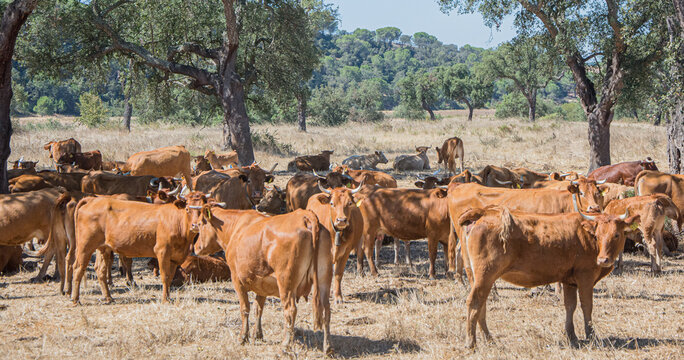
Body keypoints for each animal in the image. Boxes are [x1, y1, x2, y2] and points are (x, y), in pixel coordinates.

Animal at [71, 193, 208, 302]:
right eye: (187, 209)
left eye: (203, 210)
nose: (196, 225)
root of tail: (92, 200)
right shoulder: (162, 251)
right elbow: (165, 276)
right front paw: (165, 299)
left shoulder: (175, 258)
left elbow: (169, 278)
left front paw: (168, 297)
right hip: (85, 246)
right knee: (78, 268)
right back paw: (76, 300)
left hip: (103, 248)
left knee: (100, 270)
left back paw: (109, 298)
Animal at [191, 207, 332, 352]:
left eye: (200, 224)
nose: (195, 247)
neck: (236, 228)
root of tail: (304, 215)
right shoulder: (262, 284)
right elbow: (258, 308)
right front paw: (257, 334)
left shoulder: (236, 279)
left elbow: (245, 308)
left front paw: (243, 337)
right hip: (324, 279)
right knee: (326, 310)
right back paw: (327, 347)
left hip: (286, 282)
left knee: (290, 310)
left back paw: (285, 345)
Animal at [456, 205, 640, 348]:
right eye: (597, 235)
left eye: (616, 234)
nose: (603, 260)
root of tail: (483, 212)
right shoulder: (585, 277)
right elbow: (587, 306)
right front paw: (591, 335)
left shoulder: (569, 281)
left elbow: (570, 306)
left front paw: (571, 335)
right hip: (485, 275)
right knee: (474, 302)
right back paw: (471, 342)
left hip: (476, 276)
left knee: (482, 304)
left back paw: (489, 339)